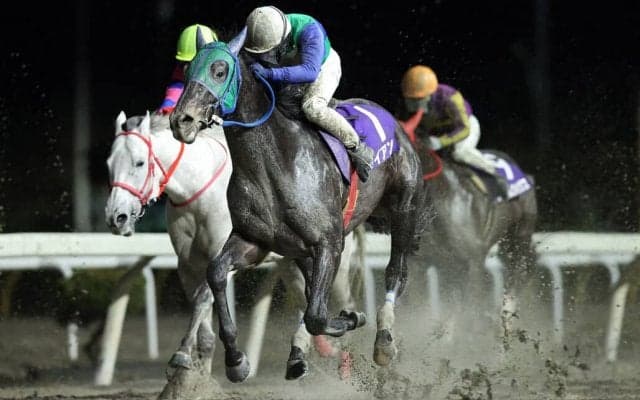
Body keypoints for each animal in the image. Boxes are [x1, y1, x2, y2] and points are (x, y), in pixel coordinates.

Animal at [104, 111, 364, 384]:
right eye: (109, 164)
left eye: (139, 163)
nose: (116, 217)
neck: (198, 193)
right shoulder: (187, 264)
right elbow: (201, 317)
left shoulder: (225, 253)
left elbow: (203, 298)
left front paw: (182, 355)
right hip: (292, 263)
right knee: (306, 300)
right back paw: (298, 357)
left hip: (335, 261)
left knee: (343, 300)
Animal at [169, 29, 427, 382]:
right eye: (186, 73)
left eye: (219, 71)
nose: (181, 121)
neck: (273, 164)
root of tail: (392, 120)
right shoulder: (255, 241)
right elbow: (217, 272)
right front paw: (236, 361)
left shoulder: (330, 242)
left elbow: (318, 314)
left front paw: (352, 318)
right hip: (301, 250)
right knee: (307, 293)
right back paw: (297, 355)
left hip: (404, 206)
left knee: (395, 273)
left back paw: (384, 340)